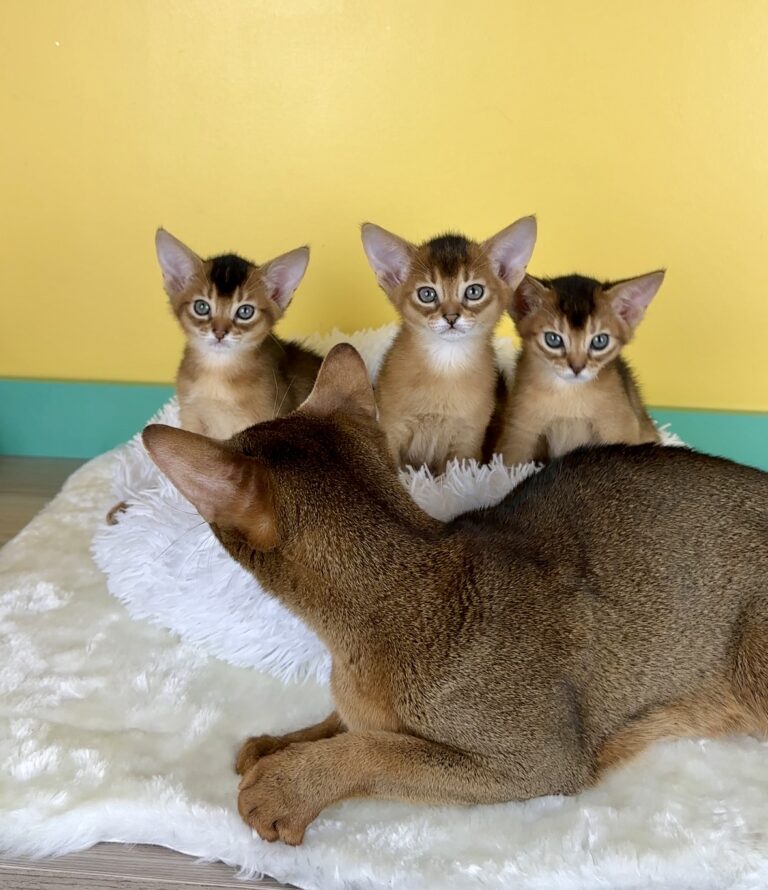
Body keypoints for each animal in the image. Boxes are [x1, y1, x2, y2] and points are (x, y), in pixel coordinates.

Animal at [361, 216, 537, 474]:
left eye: (474, 291)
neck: (446, 366)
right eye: (426, 294)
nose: (451, 317)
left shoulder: (466, 443)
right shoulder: (391, 429)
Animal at [496, 271, 663, 465]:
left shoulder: (619, 427)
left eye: (600, 341)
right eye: (553, 339)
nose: (577, 367)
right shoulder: (520, 431)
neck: (569, 394)